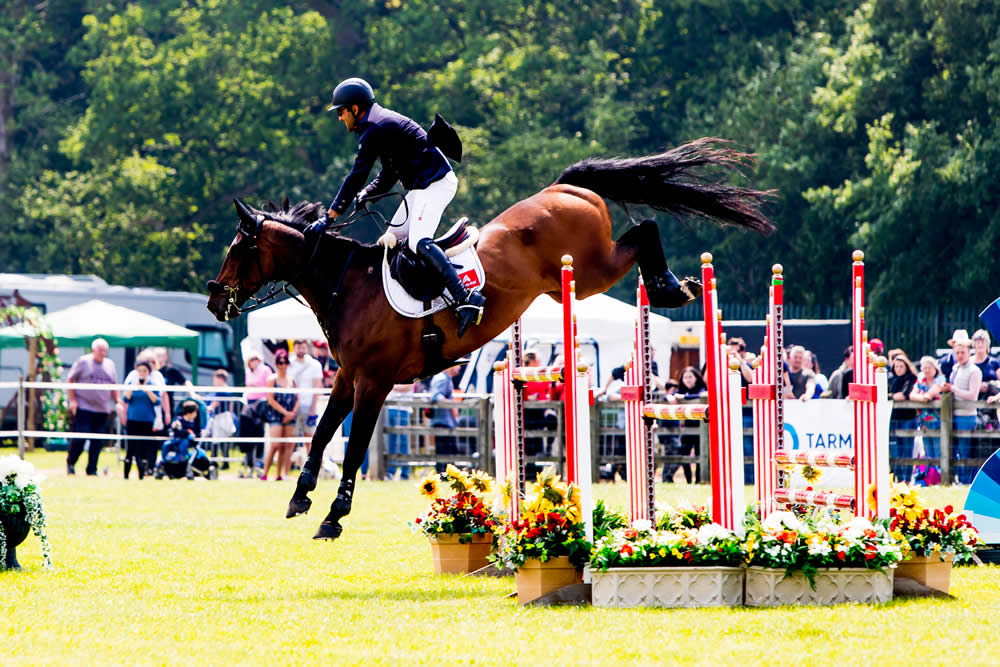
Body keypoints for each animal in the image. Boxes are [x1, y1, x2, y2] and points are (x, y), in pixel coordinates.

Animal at [209, 138, 772, 540]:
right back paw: (671, 285)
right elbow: (323, 432)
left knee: (645, 229)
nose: (216, 302)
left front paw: (334, 516)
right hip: (577, 278)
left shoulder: (374, 382)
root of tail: (563, 187)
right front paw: (300, 496)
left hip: (591, 269)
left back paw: (671, 286)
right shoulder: (347, 375)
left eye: (236, 250)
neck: (347, 282)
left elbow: (353, 447)